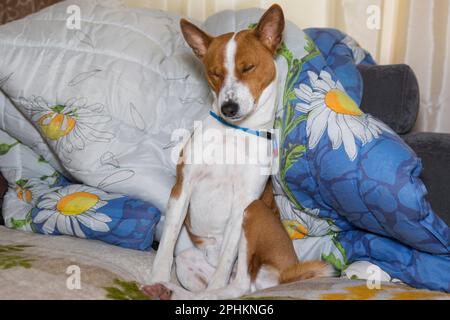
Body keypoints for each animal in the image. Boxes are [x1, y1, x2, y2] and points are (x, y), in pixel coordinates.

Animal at [142, 4, 332, 300]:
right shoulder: (183, 187)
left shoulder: (243, 202)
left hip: (253, 213)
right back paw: (169, 290)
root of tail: (285, 276)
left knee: (238, 285)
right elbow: (167, 244)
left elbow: (226, 261)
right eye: (215, 73)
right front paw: (157, 277)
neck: (233, 134)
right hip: (188, 261)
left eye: (248, 67)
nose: (229, 108)